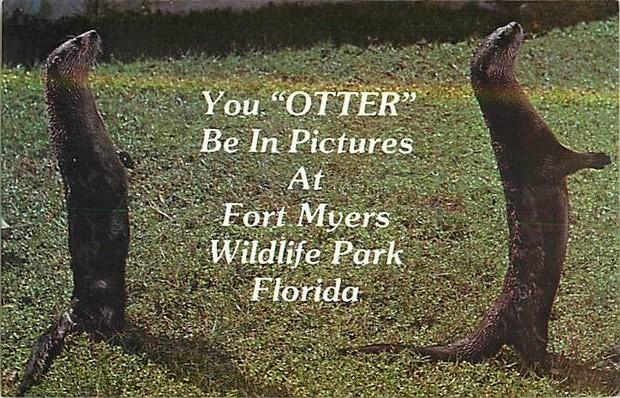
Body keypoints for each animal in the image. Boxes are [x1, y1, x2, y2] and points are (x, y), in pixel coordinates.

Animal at [17, 31, 131, 394]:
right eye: (77, 43)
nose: (93, 33)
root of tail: (74, 306)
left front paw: (128, 159)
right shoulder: (93, 172)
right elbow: (110, 191)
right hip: (110, 293)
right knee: (105, 326)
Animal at [352, 22, 612, 366]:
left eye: (500, 29)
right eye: (501, 38)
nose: (515, 24)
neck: (514, 124)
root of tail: (494, 317)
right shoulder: (543, 152)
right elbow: (568, 162)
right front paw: (600, 158)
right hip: (526, 319)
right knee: (527, 348)